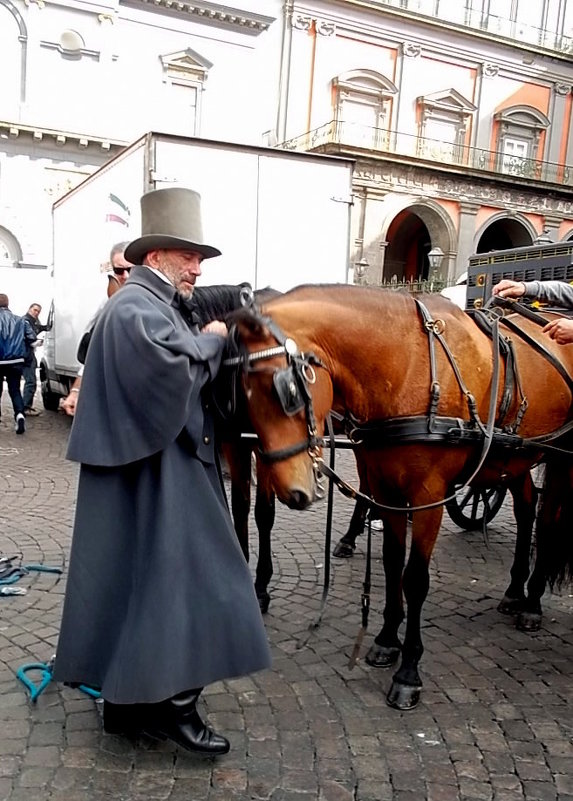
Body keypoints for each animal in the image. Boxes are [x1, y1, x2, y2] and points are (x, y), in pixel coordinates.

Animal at [226, 284, 572, 708]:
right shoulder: (386, 485)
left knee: (550, 518)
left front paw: (408, 671)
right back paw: (513, 591)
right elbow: (392, 563)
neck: (408, 364)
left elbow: (415, 578)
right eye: (239, 396)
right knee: (526, 511)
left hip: (561, 456)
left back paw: (533, 601)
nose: (294, 491)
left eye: (287, 391)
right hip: (515, 458)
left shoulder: (428, 496)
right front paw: (387, 639)